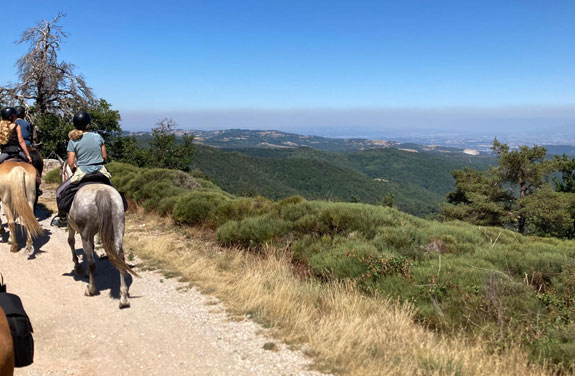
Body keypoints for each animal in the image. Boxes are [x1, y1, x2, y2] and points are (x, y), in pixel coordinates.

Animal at [60, 163, 136, 306]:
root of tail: (102, 192)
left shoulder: (70, 225)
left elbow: (71, 241)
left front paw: (78, 266)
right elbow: (92, 247)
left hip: (84, 234)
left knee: (91, 262)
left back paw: (90, 289)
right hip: (118, 226)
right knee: (120, 256)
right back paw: (123, 298)